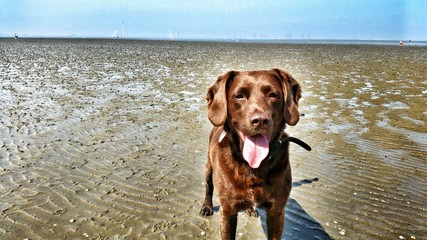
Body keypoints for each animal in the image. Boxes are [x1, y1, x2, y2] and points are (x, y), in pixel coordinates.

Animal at [201, 68, 304, 239]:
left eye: (273, 95)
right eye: (239, 96)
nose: (260, 120)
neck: (252, 166)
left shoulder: (277, 212)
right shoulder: (227, 211)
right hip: (209, 167)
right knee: (209, 187)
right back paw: (206, 207)